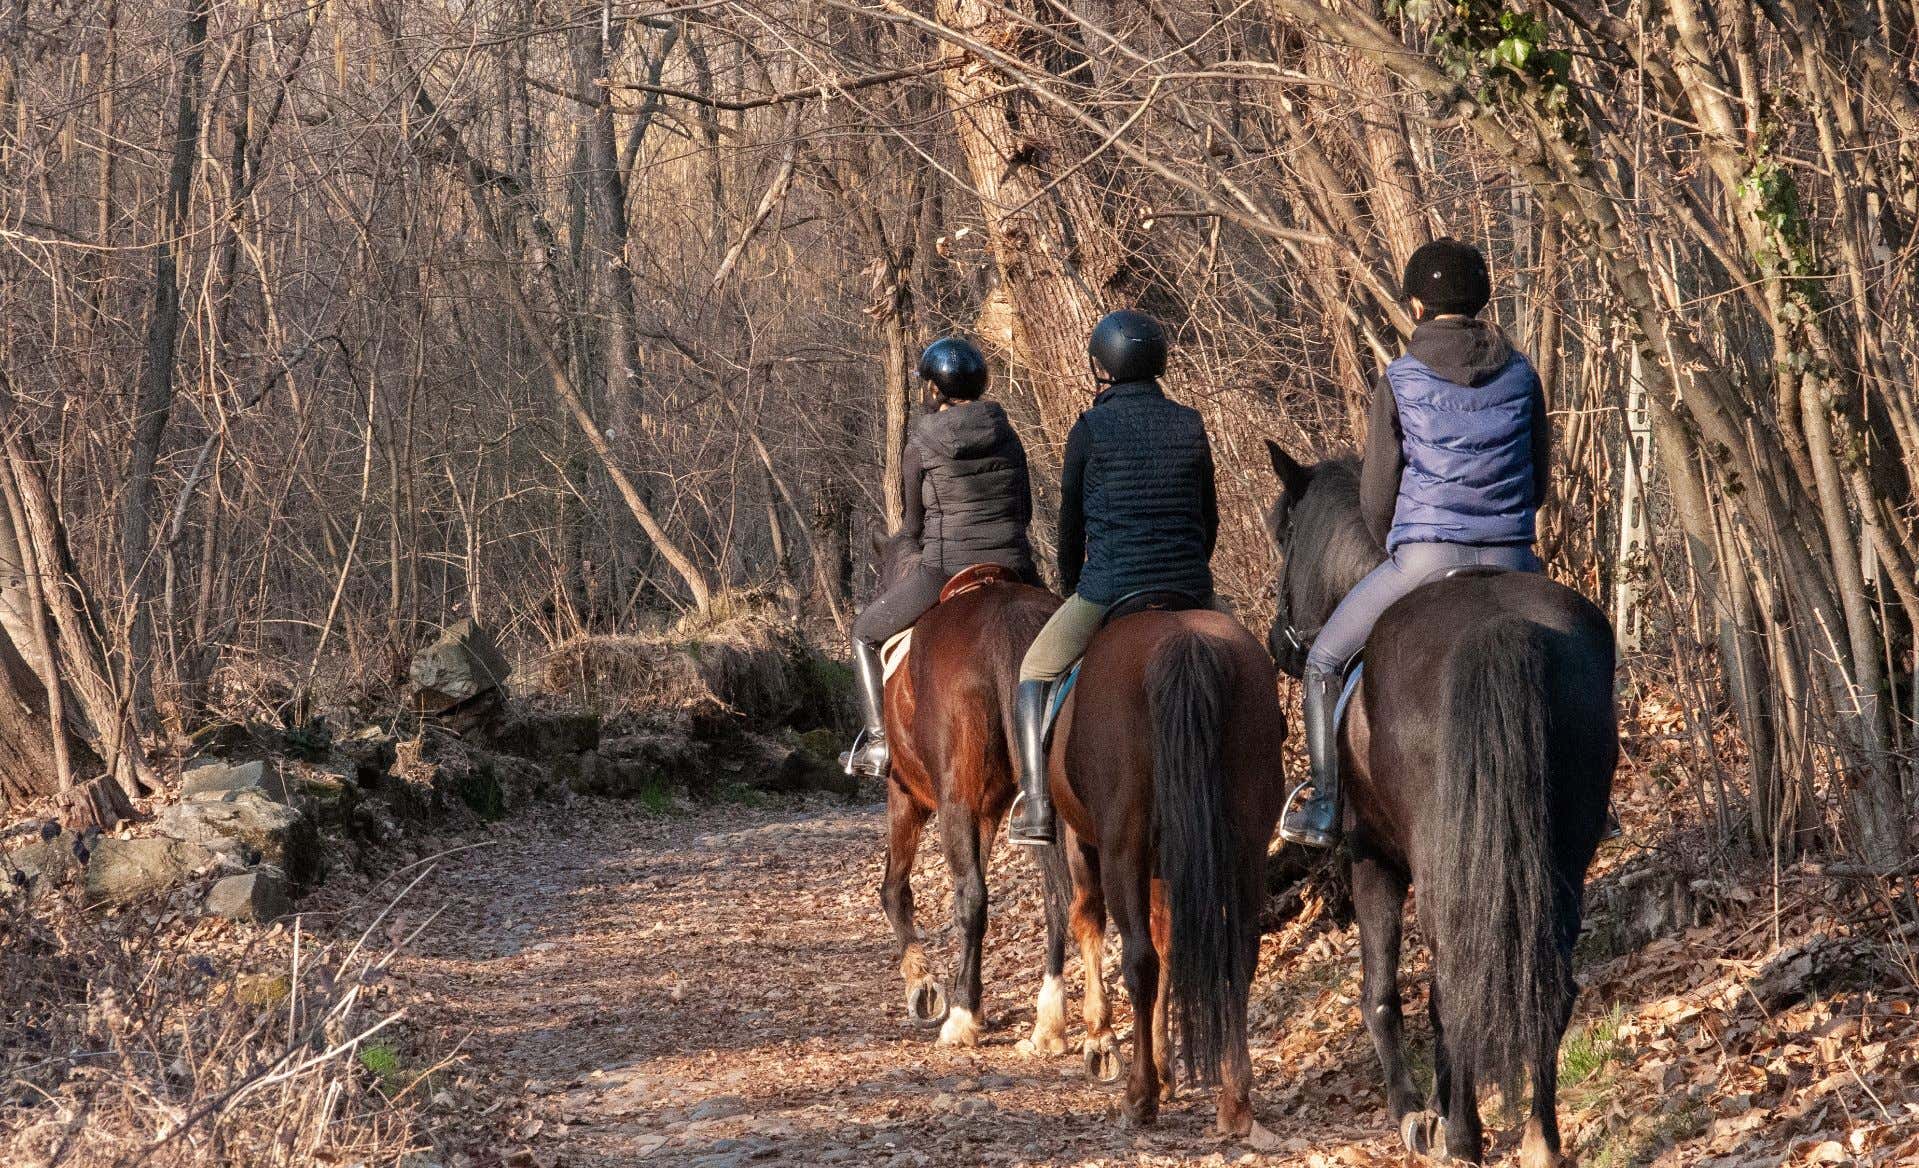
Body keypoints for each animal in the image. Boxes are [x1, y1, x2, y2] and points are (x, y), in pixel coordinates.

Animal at [870, 534, 1076, 1052]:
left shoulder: (907, 797)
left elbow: (895, 889)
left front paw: (924, 986)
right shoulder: (986, 812)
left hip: (952, 804)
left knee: (972, 899)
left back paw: (960, 1018)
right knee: (1062, 897)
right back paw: (1052, 1021)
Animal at [1046, 598, 1287, 1143]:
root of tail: (1184, 641)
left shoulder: (1085, 841)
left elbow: (1090, 920)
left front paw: (1101, 1041)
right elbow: (1171, 941)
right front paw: (1164, 1064)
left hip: (1122, 849)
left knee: (1138, 959)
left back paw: (1139, 1097)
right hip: (1245, 849)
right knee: (1238, 955)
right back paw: (1234, 1098)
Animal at [1261, 443, 1617, 1167]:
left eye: (1284, 536)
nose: (1278, 645)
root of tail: (1501, 628)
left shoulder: (1370, 858)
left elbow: (1381, 995)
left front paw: (1412, 1115)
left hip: (1438, 867)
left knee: (1454, 984)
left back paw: (1462, 1136)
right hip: (1560, 857)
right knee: (1547, 985)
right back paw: (1539, 1139)